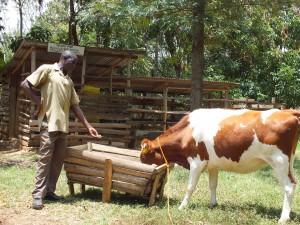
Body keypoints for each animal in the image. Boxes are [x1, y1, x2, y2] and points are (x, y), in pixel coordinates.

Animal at [141, 108, 300, 222]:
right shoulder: (213, 165)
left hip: (279, 162)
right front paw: (213, 204)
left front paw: (182, 206)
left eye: (144, 154)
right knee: (294, 182)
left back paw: (283, 218)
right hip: (289, 163)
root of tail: (286, 111)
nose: (140, 159)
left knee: (288, 187)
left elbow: (190, 187)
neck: (186, 131)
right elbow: (213, 185)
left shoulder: (196, 162)